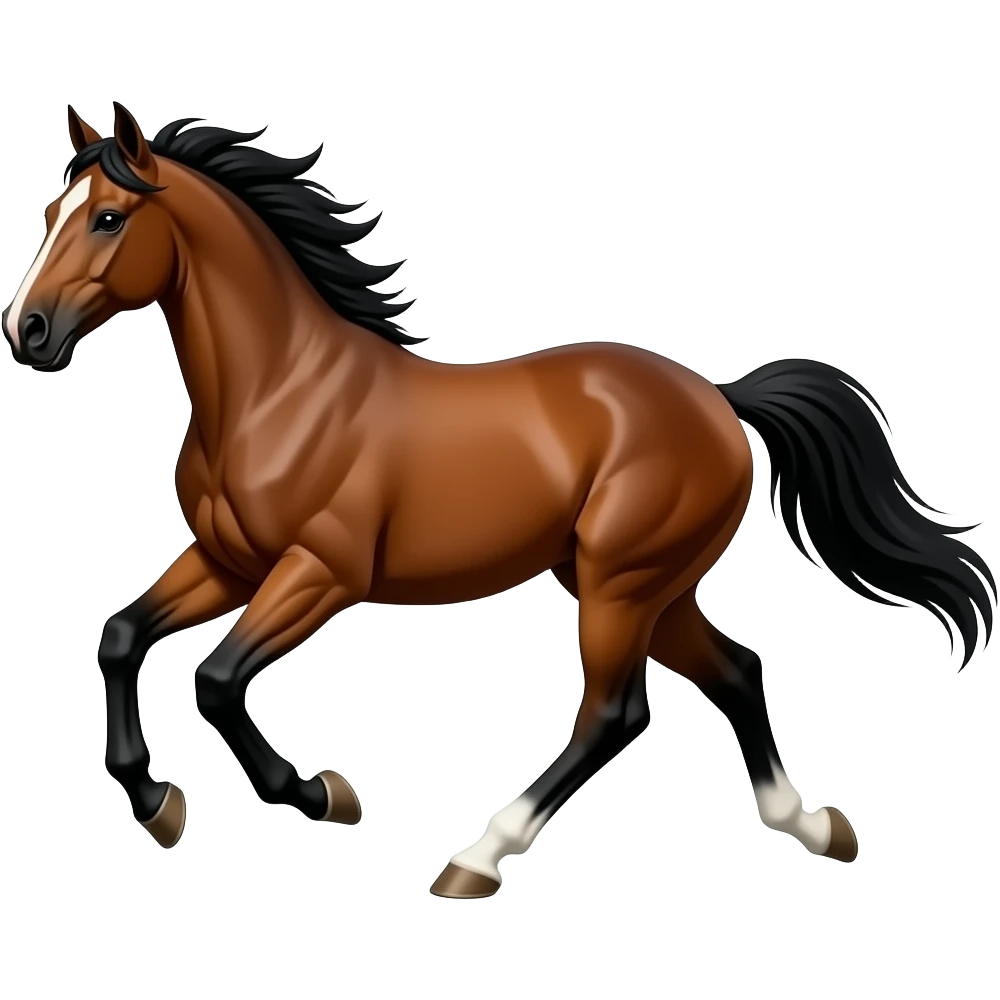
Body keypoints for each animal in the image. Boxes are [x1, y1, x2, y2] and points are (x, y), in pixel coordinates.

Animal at [4, 102, 994, 897]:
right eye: (52, 213)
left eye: (107, 218)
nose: (29, 332)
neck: (279, 391)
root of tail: (718, 397)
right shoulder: (228, 562)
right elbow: (122, 636)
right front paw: (156, 802)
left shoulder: (320, 573)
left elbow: (214, 680)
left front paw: (322, 795)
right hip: (642, 586)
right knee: (736, 671)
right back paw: (815, 825)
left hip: (620, 582)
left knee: (616, 713)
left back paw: (476, 859)